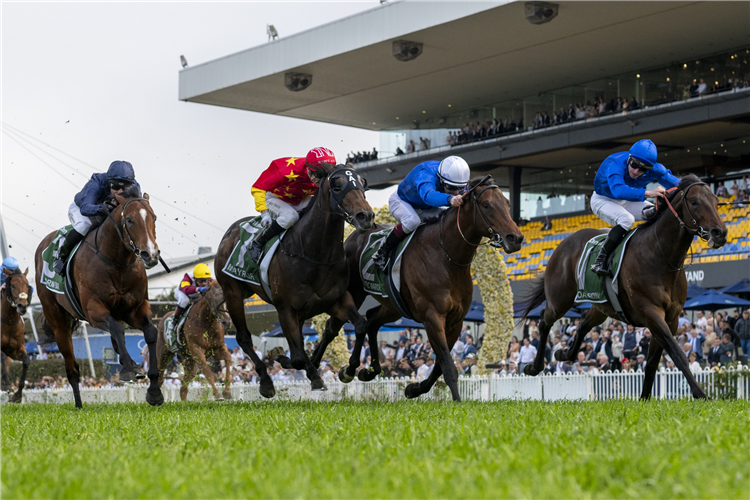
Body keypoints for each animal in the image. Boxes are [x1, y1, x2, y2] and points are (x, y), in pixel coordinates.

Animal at [35, 191, 163, 406]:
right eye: (129, 219)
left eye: (154, 218)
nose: (150, 254)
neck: (117, 262)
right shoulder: (93, 310)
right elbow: (118, 329)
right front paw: (128, 370)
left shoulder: (135, 309)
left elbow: (151, 332)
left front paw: (154, 391)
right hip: (57, 321)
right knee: (72, 369)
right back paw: (79, 405)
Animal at [214, 164, 374, 398]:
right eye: (337, 185)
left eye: (363, 182)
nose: (366, 216)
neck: (315, 254)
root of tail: (229, 232)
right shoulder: (285, 309)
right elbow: (298, 356)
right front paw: (312, 375)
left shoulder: (337, 300)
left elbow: (361, 325)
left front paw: (349, 369)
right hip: (232, 292)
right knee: (243, 338)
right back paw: (266, 382)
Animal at [312, 176, 524, 402]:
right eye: (486, 205)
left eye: (507, 204)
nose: (515, 238)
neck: (447, 257)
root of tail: (352, 237)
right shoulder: (432, 317)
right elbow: (447, 364)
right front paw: (457, 401)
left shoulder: (456, 320)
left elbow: (439, 365)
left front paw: (414, 388)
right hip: (354, 292)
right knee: (334, 326)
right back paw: (329, 367)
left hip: (393, 305)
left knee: (371, 321)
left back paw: (366, 370)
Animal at [524, 176, 728, 398]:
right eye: (694, 202)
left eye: (716, 201)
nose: (720, 232)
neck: (660, 256)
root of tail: (561, 244)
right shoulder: (651, 312)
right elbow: (677, 354)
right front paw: (701, 395)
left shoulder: (671, 318)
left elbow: (652, 363)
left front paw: (644, 398)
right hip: (560, 300)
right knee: (544, 321)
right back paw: (533, 367)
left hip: (601, 306)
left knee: (583, 324)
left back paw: (564, 353)